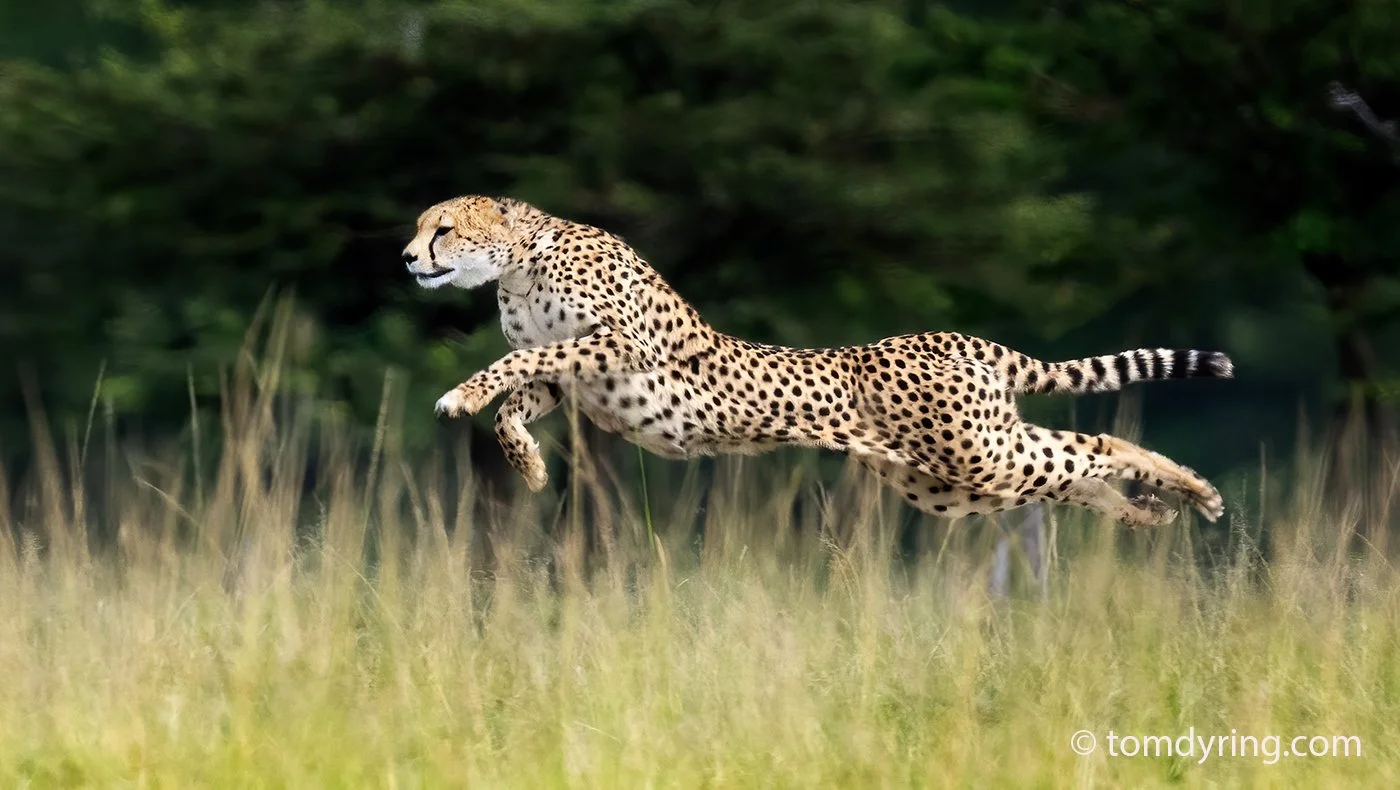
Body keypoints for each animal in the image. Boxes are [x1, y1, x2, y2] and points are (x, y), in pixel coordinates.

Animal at [402, 195, 1234, 527]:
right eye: (421, 228)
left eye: (442, 228)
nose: (408, 258)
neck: (519, 262)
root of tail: (951, 338)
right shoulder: (566, 372)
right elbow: (519, 395)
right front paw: (531, 467)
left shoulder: (623, 347)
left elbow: (507, 371)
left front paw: (459, 398)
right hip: (956, 482)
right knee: (1073, 474)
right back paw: (1152, 512)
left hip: (974, 453)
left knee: (1095, 443)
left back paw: (1192, 489)